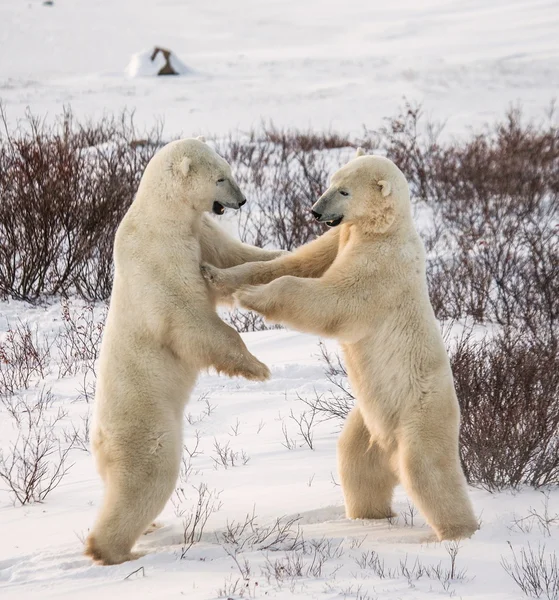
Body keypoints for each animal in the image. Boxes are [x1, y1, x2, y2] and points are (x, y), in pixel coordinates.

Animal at [86, 138, 284, 564]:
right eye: (221, 177)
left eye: (230, 170)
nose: (242, 200)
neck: (164, 215)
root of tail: (99, 438)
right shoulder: (161, 256)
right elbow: (190, 318)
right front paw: (256, 367)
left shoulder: (202, 232)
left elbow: (236, 256)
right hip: (145, 425)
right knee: (147, 477)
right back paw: (113, 551)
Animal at [203, 151, 480, 544]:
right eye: (331, 182)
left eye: (345, 191)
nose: (315, 211)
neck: (383, 228)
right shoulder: (340, 237)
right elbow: (295, 262)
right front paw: (217, 274)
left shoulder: (380, 266)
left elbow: (332, 299)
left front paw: (251, 296)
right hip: (369, 420)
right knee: (357, 462)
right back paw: (368, 516)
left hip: (419, 414)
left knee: (427, 470)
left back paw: (458, 533)